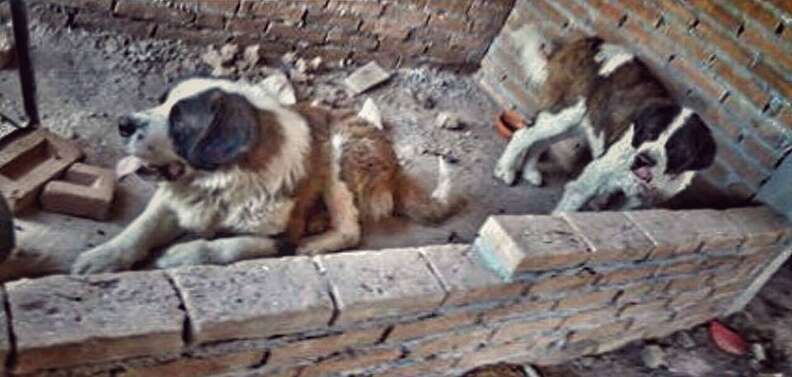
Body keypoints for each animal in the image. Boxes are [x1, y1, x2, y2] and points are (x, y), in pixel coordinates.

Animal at [72, 78, 464, 272]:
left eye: (179, 119)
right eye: (159, 102)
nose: (123, 124)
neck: (222, 181)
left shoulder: (280, 234)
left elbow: (231, 245)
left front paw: (186, 255)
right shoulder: (171, 199)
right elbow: (141, 227)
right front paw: (104, 256)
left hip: (338, 152)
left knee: (351, 229)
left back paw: (315, 242)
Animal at [492, 30, 716, 212]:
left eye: (677, 148)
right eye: (650, 132)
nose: (644, 160)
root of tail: (592, 42)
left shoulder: (636, 203)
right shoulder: (588, 181)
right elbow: (569, 207)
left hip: (575, 124)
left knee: (540, 141)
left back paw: (530, 172)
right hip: (563, 115)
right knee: (524, 134)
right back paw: (506, 170)